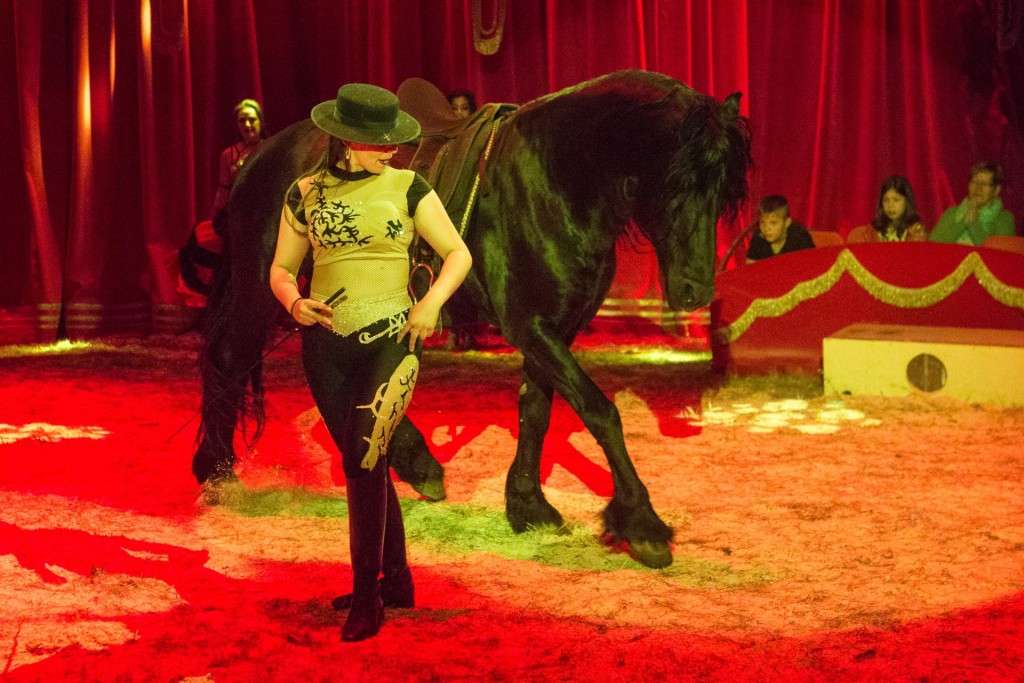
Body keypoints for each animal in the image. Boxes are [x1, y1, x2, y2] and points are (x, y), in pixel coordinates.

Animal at [192, 70, 751, 568]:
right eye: (677, 183)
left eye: (726, 192)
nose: (696, 290)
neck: (557, 176)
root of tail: (259, 156)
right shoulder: (530, 324)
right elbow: (598, 410)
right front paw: (641, 522)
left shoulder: (553, 327)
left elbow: (536, 408)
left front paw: (528, 504)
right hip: (262, 288)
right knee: (229, 358)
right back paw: (217, 470)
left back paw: (412, 461)